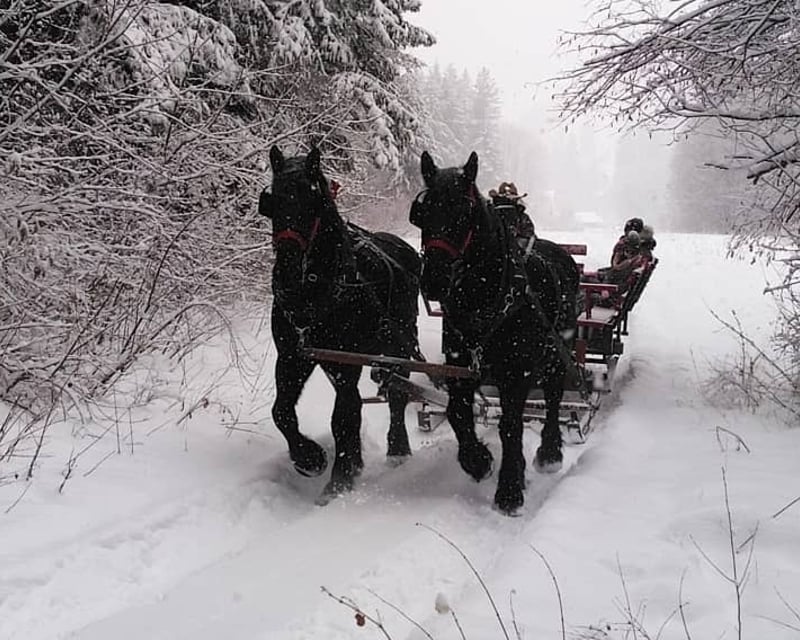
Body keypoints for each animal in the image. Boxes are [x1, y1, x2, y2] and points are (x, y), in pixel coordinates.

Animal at [258, 146, 422, 502]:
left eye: (313, 201)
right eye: (272, 202)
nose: (287, 271)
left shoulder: (347, 361)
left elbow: (342, 415)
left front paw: (340, 477)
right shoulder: (294, 356)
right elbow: (282, 411)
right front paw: (310, 459)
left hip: (398, 344)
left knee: (397, 394)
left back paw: (398, 448)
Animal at [409, 150, 581, 514]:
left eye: (465, 213)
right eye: (421, 213)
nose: (433, 280)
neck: (485, 295)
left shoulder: (516, 371)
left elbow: (510, 424)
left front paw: (510, 489)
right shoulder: (460, 363)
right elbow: (458, 412)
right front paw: (478, 461)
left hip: (558, 353)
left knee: (554, 397)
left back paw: (550, 452)